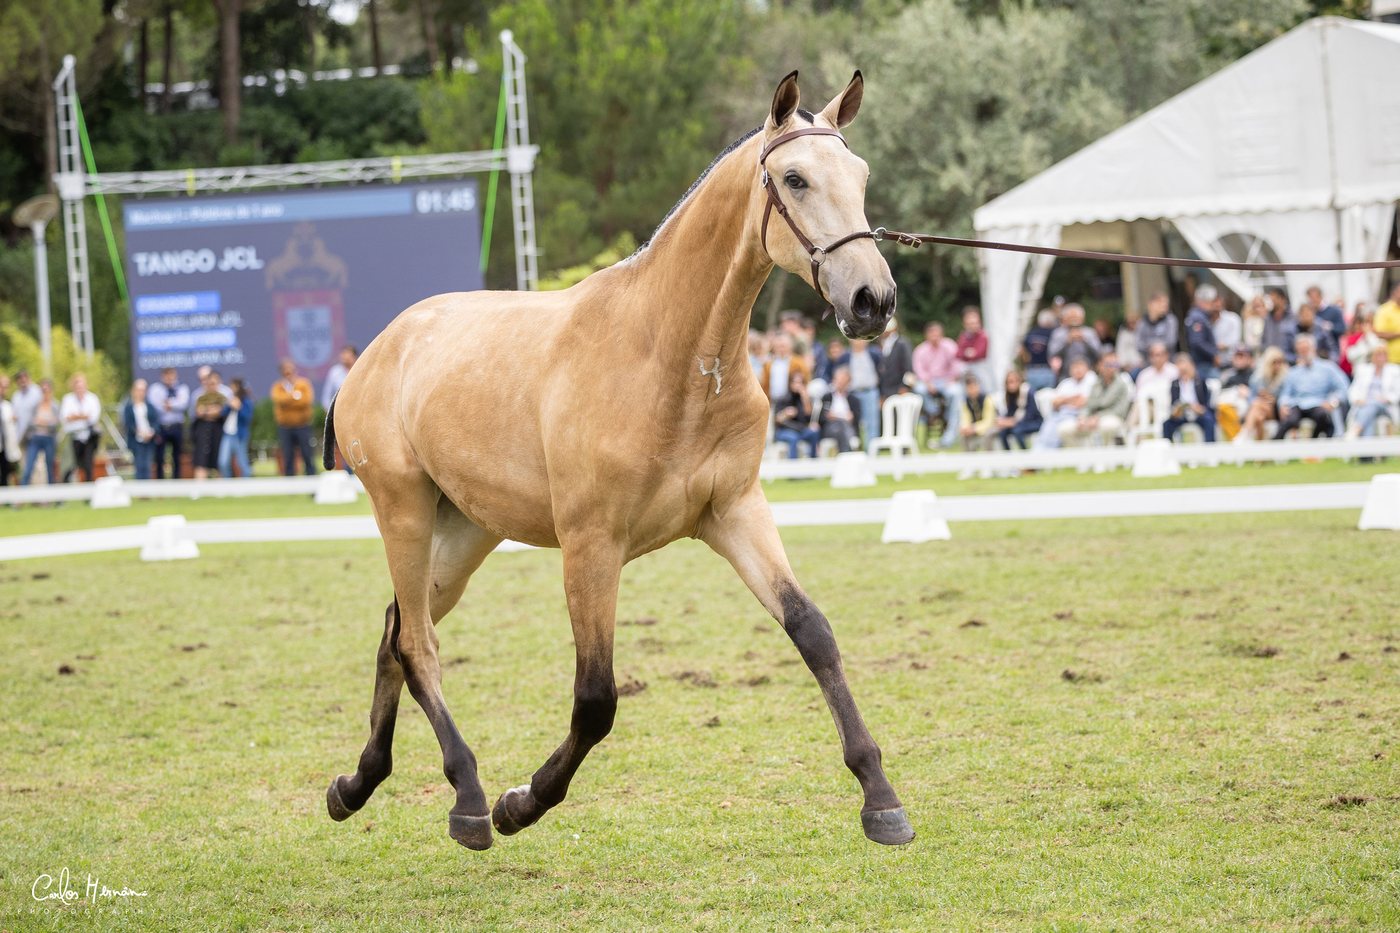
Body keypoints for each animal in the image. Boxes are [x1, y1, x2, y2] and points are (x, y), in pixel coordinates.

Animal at [323, 70, 913, 850]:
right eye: (795, 178)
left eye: (862, 175)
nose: (873, 301)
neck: (669, 354)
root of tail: (377, 350)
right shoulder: (592, 545)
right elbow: (596, 698)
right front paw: (523, 801)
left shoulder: (735, 513)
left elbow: (812, 632)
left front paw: (880, 798)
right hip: (405, 515)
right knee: (418, 644)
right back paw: (470, 798)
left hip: (463, 534)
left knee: (395, 633)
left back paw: (357, 784)